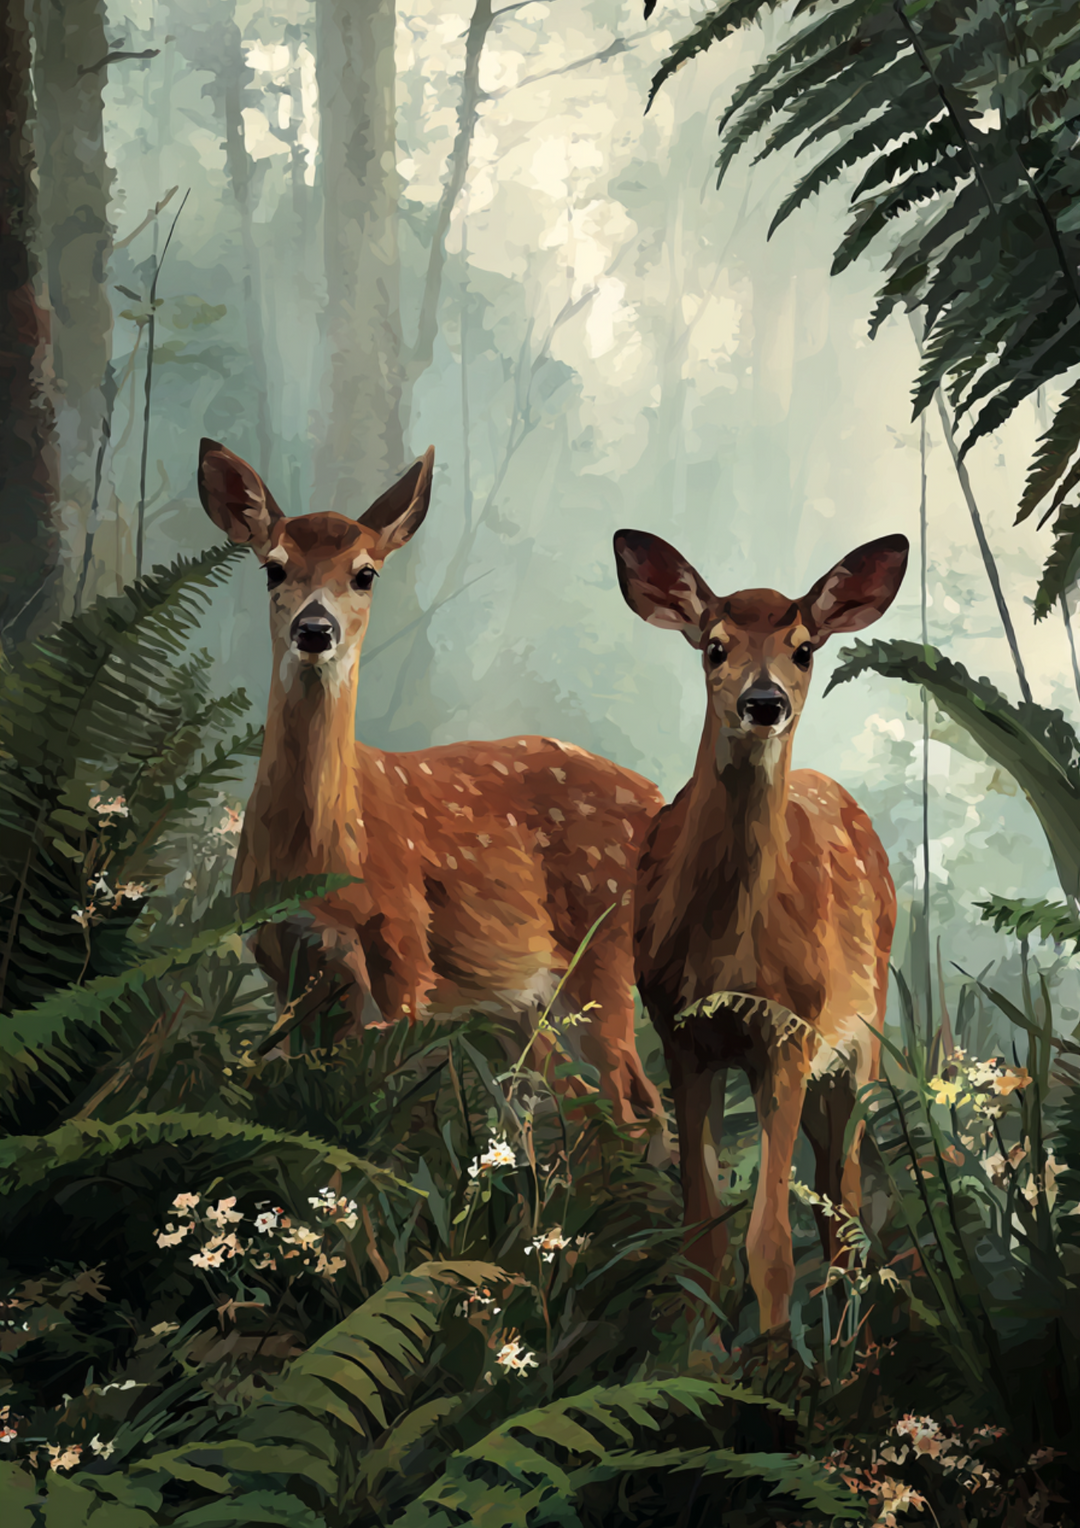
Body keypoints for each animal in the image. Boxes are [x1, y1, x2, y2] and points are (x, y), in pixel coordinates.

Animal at [196, 437, 665, 1131]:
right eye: (273, 568)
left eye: (366, 573)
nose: (315, 629)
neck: (317, 860)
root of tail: (660, 799)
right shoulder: (284, 959)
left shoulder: (404, 948)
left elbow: (377, 1107)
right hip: (518, 1000)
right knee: (580, 1102)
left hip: (602, 952)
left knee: (633, 1100)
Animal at [612, 528, 908, 1332]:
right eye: (713, 646)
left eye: (804, 648)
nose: (764, 700)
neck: (726, 956)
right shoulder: (679, 1033)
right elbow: (703, 1241)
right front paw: (704, 1356)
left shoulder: (790, 1032)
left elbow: (768, 1245)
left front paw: (772, 1358)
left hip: (859, 1039)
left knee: (845, 1198)